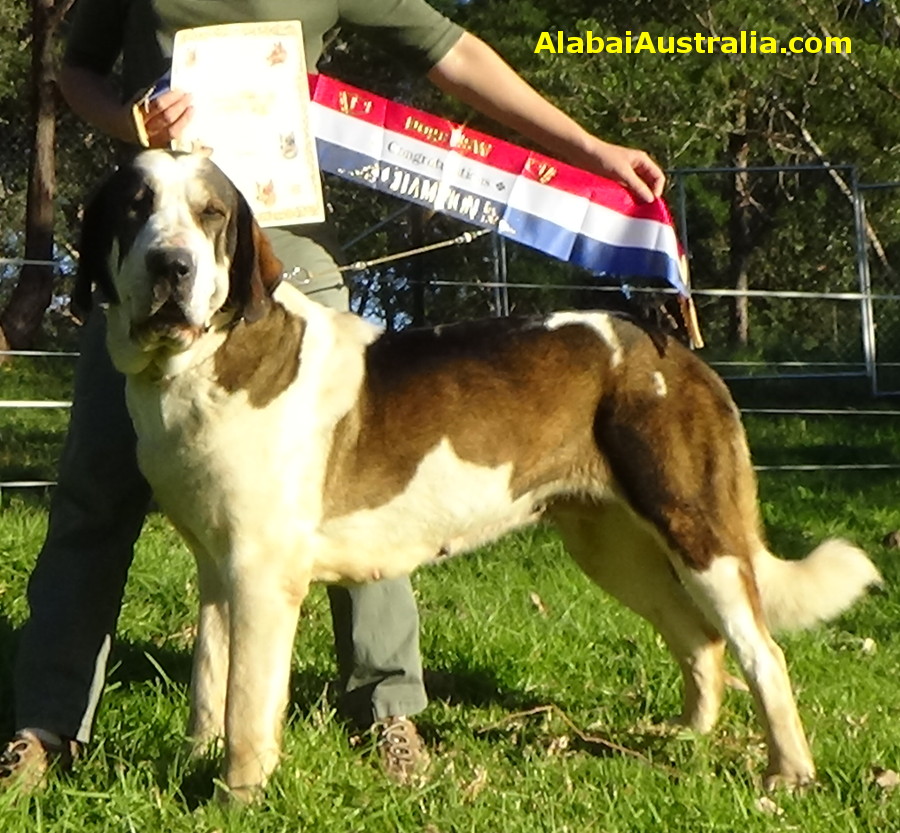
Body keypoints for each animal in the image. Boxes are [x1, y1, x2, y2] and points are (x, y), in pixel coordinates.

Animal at [75, 150, 880, 800]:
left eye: (209, 215)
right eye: (135, 207)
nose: (171, 266)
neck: (201, 363)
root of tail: (667, 342)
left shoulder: (261, 574)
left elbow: (246, 701)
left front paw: (235, 796)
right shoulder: (217, 569)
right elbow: (209, 680)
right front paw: (195, 762)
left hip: (697, 527)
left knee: (761, 650)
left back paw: (788, 774)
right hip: (612, 544)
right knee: (698, 637)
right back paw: (685, 737)